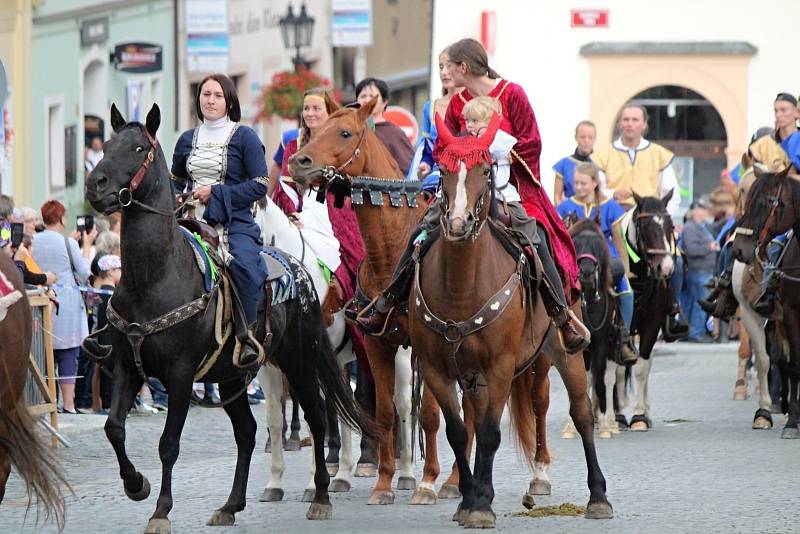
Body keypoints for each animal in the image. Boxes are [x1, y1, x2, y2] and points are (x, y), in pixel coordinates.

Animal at [84, 102, 378, 532]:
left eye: (139, 149)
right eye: (106, 146)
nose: (95, 185)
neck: (153, 278)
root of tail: (299, 271)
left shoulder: (180, 375)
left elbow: (168, 445)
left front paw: (160, 510)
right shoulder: (127, 367)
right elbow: (113, 428)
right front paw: (136, 485)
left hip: (301, 361)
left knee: (320, 417)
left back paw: (323, 493)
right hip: (233, 376)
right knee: (249, 432)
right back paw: (231, 504)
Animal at [406, 115, 612, 528]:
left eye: (486, 170)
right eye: (443, 170)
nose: (457, 223)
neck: (461, 286)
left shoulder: (500, 365)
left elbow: (488, 433)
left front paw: (481, 505)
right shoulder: (437, 369)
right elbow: (458, 431)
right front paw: (469, 498)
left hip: (564, 352)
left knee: (581, 413)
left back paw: (598, 496)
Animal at [732, 169, 800, 440]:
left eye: (765, 203)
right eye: (746, 197)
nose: (739, 249)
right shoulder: (788, 314)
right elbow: (790, 364)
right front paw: (792, 422)